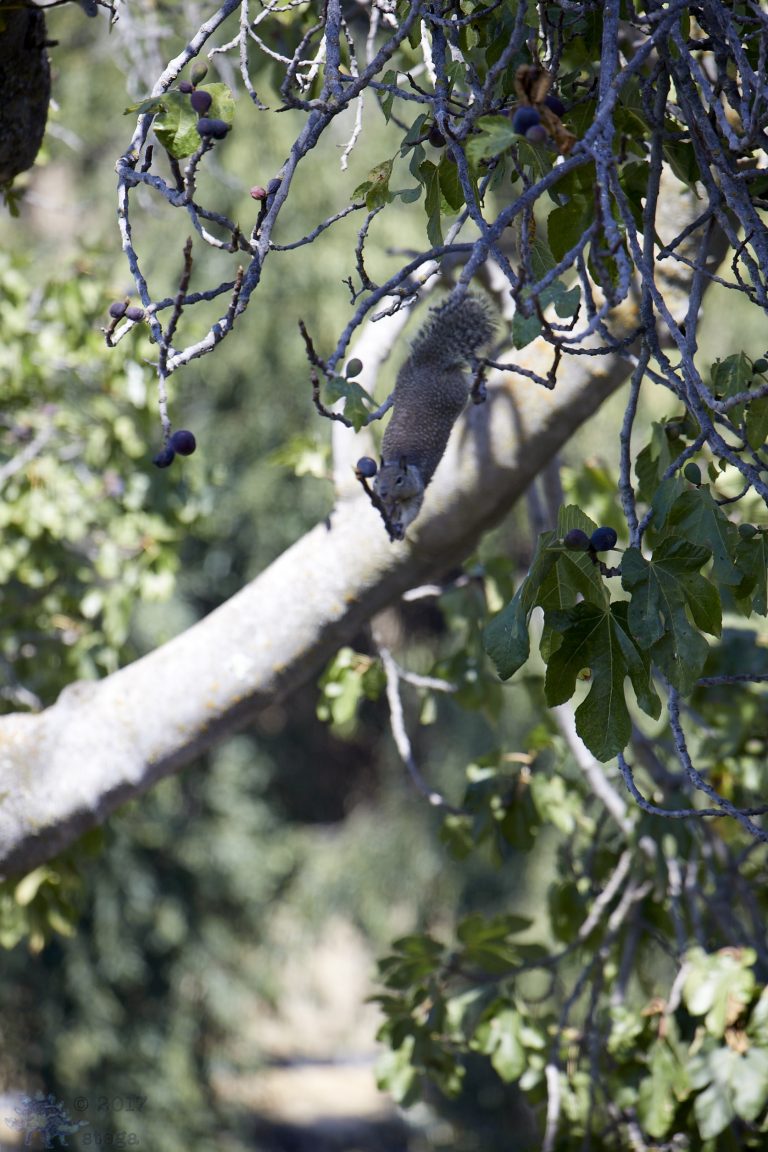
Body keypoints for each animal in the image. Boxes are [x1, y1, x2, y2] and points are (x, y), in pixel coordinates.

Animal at [373, 293, 494, 540]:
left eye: (399, 480)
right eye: (376, 479)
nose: (383, 493)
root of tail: (428, 363)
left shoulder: (417, 492)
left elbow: (413, 512)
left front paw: (402, 527)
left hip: (452, 392)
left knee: (464, 380)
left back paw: (476, 383)